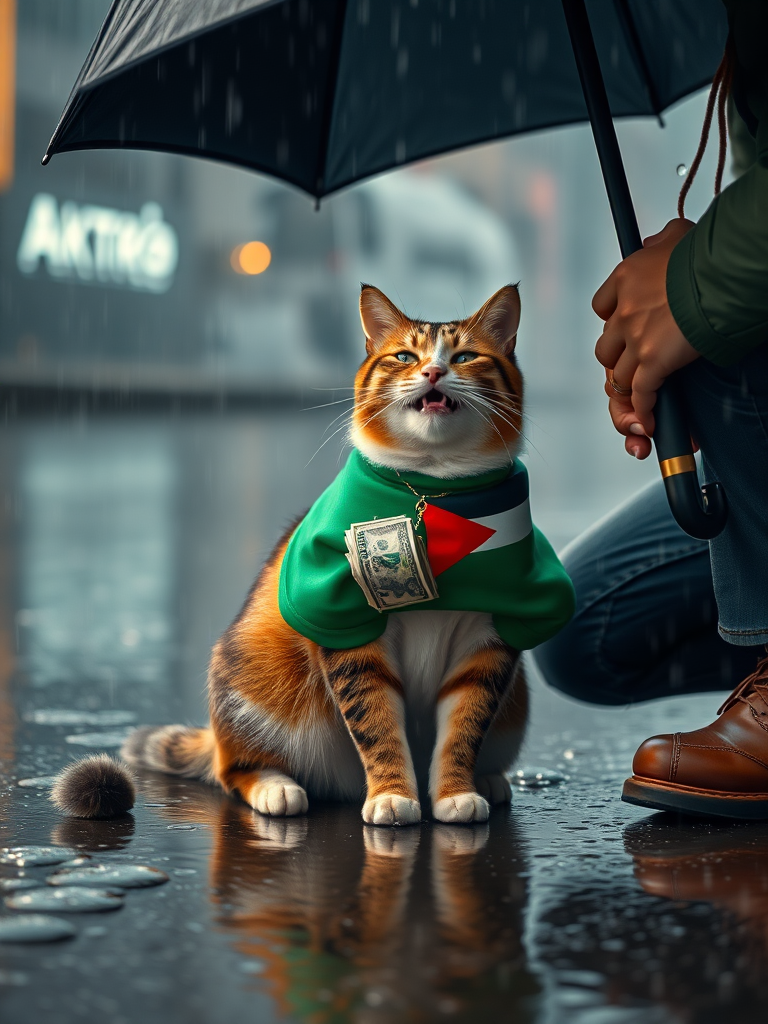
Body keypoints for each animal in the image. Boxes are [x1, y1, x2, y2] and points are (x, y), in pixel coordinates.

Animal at [118, 284, 577, 827]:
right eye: (404, 356)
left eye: (465, 357)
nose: (433, 372)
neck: (433, 489)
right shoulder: (347, 624)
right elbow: (376, 722)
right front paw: (392, 795)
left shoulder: (490, 638)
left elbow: (465, 725)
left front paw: (454, 793)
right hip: (250, 675)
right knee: (233, 768)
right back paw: (275, 788)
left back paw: (488, 779)